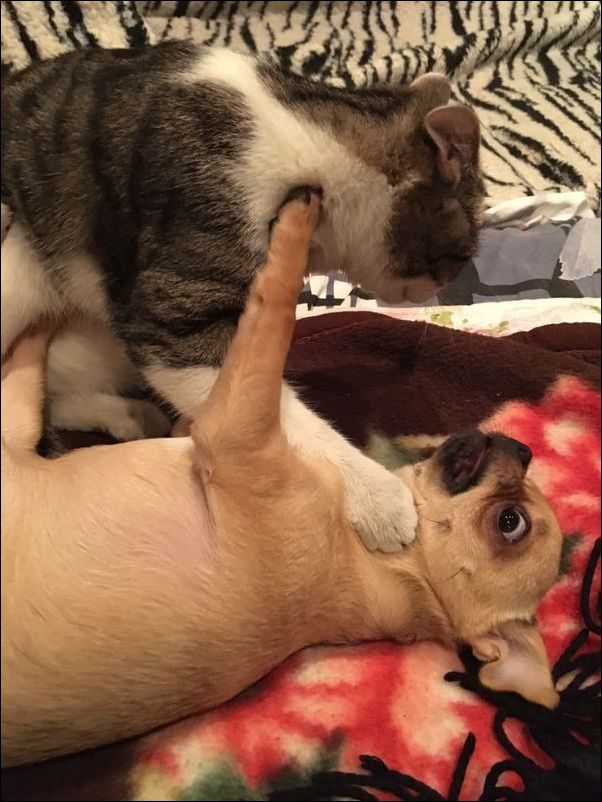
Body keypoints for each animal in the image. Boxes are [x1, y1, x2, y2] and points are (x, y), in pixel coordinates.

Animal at [1, 42, 485, 552]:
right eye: (464, 251)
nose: (445, 286)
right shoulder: (174, 314)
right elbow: (269, 408)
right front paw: (377, 496)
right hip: (21, 268)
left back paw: (131, 414)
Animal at [1, 192, 562, 768]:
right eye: (527, 482)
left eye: (511, 523)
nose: (522, 449)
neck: (395, 569)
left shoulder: (235, 429)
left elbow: (271, 316)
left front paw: (295, 230)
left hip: (16, 430)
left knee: (26, 365)